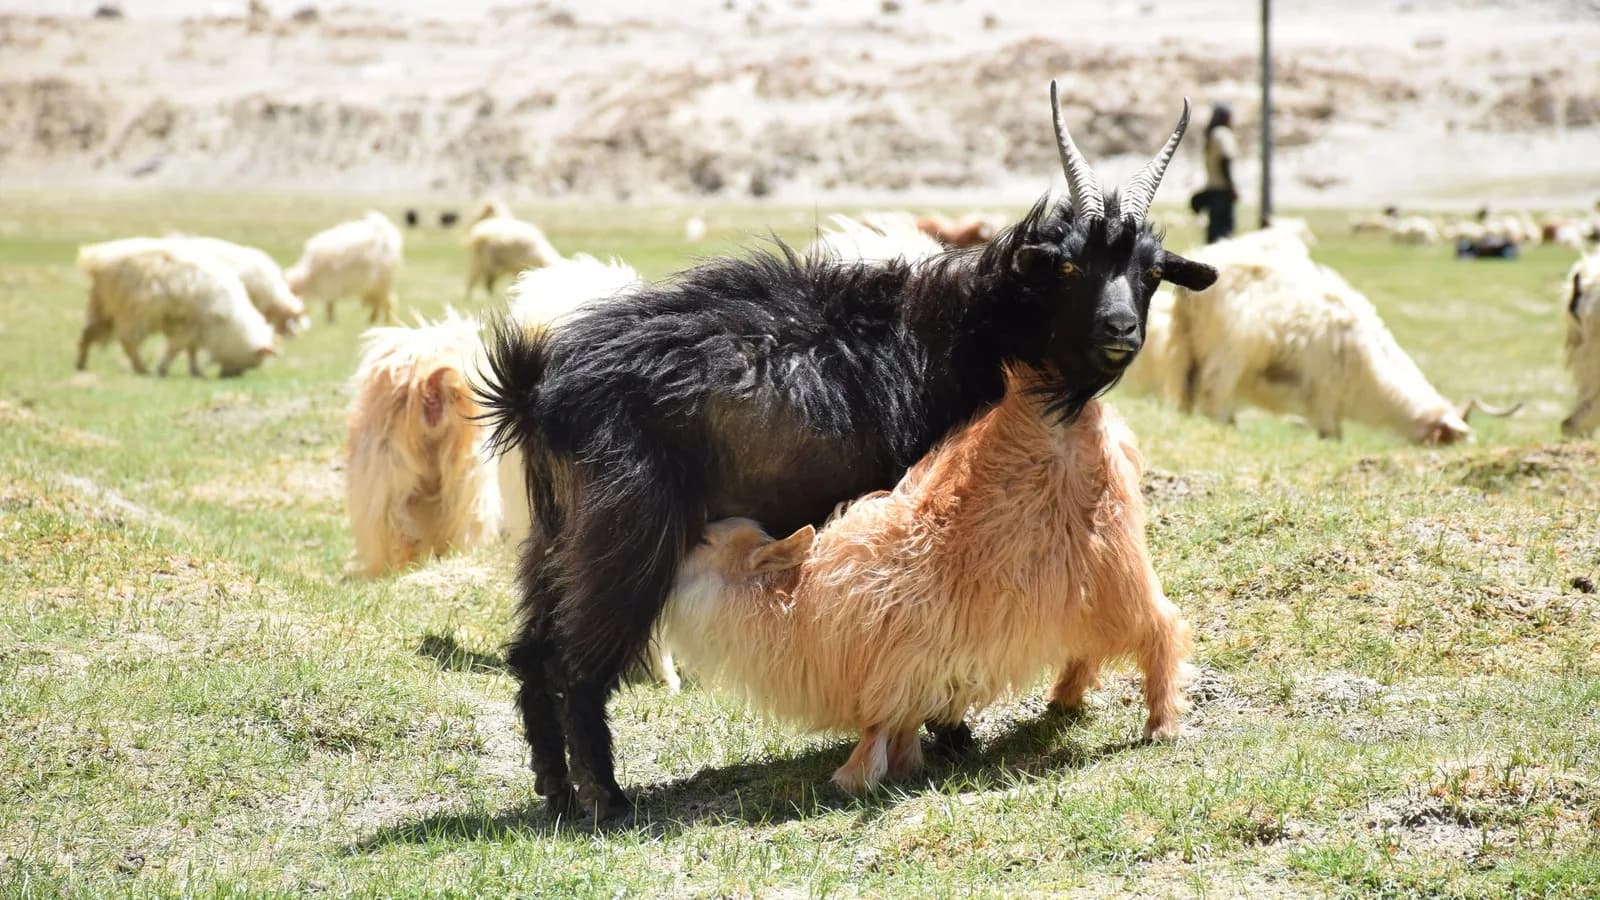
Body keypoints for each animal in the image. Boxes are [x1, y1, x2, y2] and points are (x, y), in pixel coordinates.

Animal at [661, 387, 1191, 794]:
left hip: (1115, 570)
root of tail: (1095, 418)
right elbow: (898, 723)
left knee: (1161, 626)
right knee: (1086, 646)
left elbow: (877, 723)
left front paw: (855, 776)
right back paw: (1063, 697)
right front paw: (902, 763)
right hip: (1076, 591)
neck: (796, 607)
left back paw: (1161, 724)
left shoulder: (896, 665)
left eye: (704, 541)